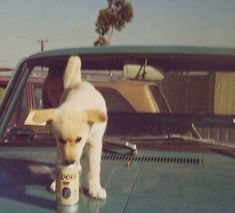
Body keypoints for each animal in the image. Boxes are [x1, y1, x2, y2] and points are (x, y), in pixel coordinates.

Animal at [30, 55, 107, 199]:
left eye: (78, 139)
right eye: (61, 139)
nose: (69, 161)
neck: (78, 101)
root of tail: (78, 82)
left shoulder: (94, 144)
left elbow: (94, 169)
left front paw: (95, 188)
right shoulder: (60, 146)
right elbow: (60, 161)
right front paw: (58, 181)